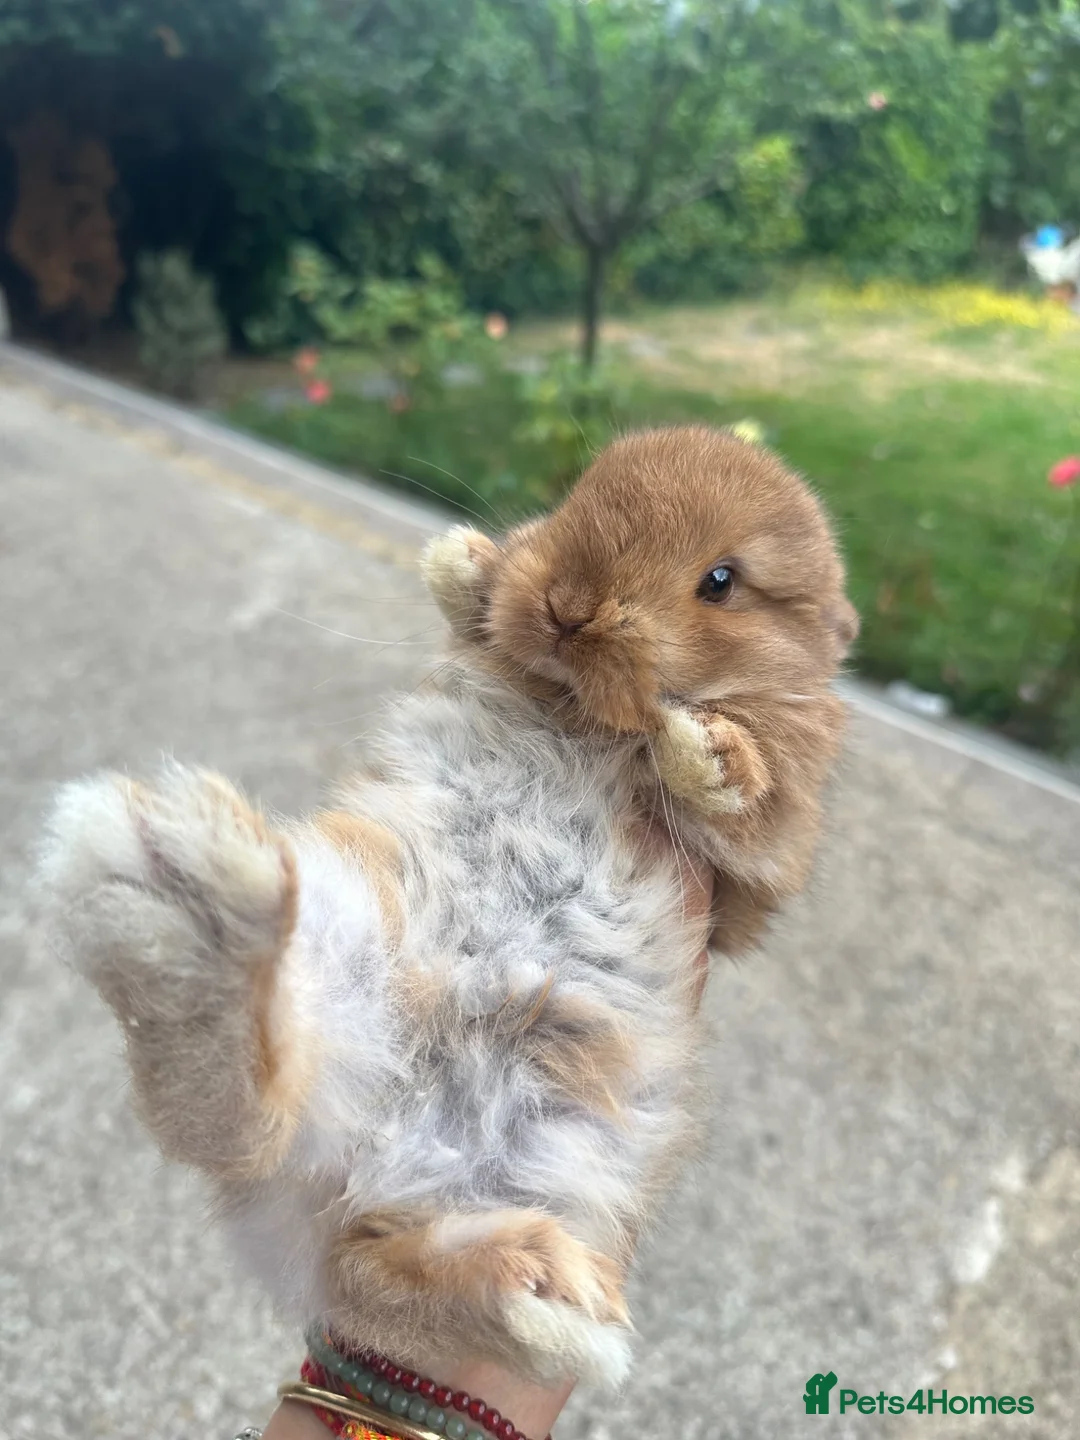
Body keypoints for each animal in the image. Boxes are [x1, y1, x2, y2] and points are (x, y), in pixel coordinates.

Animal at [35, 425, 855, 1398]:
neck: (582, 712)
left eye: (721, 581)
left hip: (564, 1159)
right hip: (348, 923)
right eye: (576, 497)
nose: (568, 606)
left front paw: (703, 747)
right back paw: (175, 905)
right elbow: (475, 616)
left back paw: (555, 1308)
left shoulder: (751, 882)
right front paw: (463, 562)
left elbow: (756, 805)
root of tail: (358, 1147)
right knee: (250, 1124)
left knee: (380, 1259)